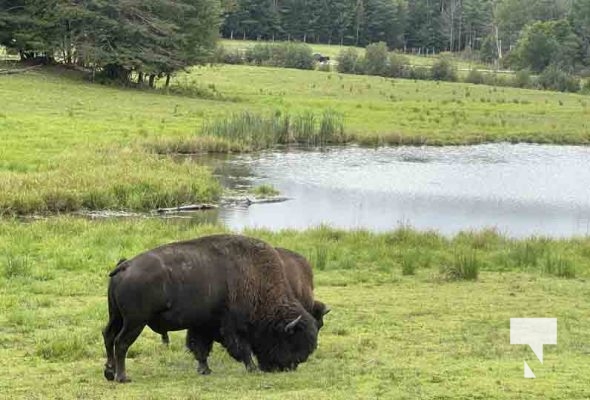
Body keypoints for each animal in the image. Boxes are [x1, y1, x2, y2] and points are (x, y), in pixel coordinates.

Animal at [104, 233, 322, 382]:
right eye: (290, 341)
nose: (289, 367)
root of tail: (125, 266)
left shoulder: (203, 325)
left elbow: (200, 348)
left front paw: (204, 370)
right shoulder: (232, 327)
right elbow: (241, 348)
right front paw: (252, 368)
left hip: (117, 317)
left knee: (108, 336)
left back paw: (109, 372)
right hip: (135, 322)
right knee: (121, 343)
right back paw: (122, 377)